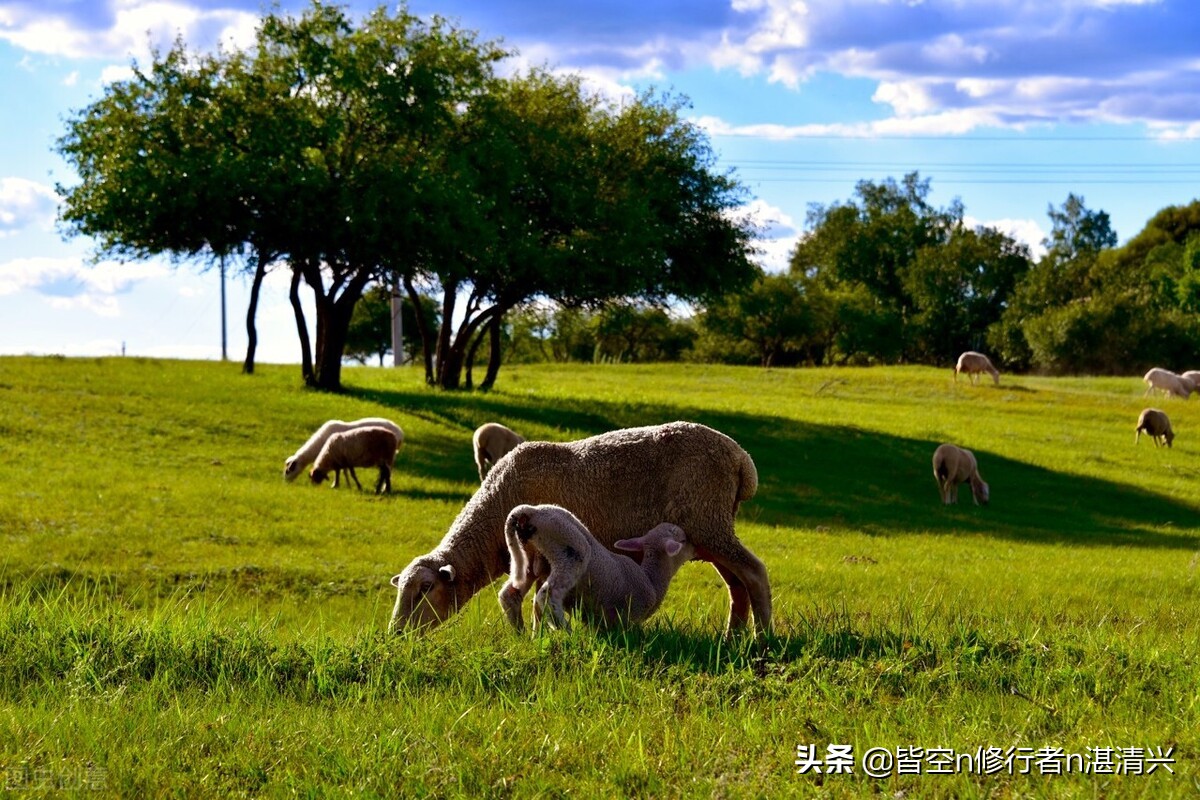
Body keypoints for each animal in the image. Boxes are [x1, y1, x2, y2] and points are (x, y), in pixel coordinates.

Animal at [496, 506, 696, 633]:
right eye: (683, 540)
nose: (695, 547)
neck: (652, 579)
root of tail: (531, 511)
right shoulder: (625, 616)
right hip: (569, 550)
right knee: (547, 595)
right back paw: (564, 629)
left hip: (530, 559)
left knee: (509, 594)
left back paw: (521, 633)